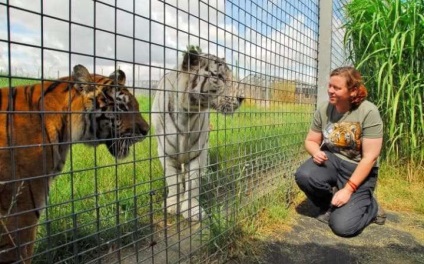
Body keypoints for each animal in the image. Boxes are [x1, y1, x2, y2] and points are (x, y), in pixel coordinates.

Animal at [152, 49, 245, 221]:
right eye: (219, 76)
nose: (242, 98)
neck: (187, 114)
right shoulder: (166, 153)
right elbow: (172, 180)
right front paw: (172, 206)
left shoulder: (196, 152)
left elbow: (193, 182)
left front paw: (192, 210)